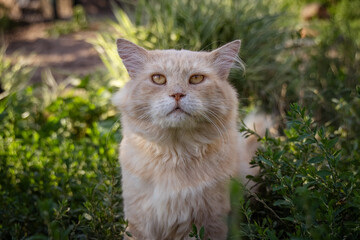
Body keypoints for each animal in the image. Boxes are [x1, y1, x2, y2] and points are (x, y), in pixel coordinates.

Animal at [113, 38, 270, 239]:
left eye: (196, 79)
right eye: (158, 79)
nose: (177, 94)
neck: (175, 153)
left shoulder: (209, 222)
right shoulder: (137, 222)